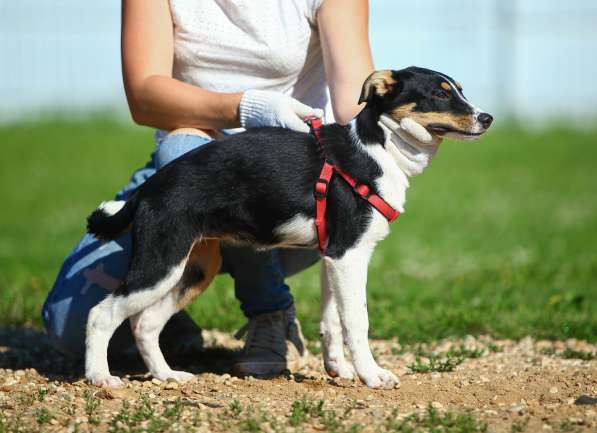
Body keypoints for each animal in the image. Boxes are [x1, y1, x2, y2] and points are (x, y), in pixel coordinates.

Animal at [84, 66, 494, 388]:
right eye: (440, 94)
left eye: (459, 89)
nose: (487, 117)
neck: (379, 149)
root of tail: (148, 189)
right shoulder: (350, 255)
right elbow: (357, 321)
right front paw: (372, 375)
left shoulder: (333, 257)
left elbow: (332, 322)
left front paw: (340, 371)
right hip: (160, 261)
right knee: (101, 314)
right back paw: (100, 378)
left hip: (192, 269)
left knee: (145, 323)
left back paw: (167, 376)